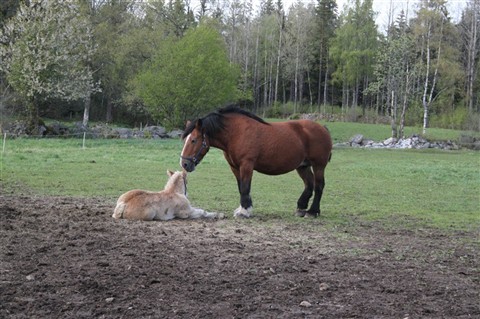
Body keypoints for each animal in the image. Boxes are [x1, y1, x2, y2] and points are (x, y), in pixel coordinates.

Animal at [178, 106, 332, 219]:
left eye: (193, 140)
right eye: (185, 140)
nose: (184, 164)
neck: (236, 133)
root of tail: (323, 128)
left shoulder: (247, 164)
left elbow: (245, 187)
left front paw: (244, 211)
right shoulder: (235, 167)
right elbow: (241, 187)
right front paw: (243, 208)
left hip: (318, 165)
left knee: (319, 186)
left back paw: (312, 211)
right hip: (303, 166)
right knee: (309, 184)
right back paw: (301, 208)